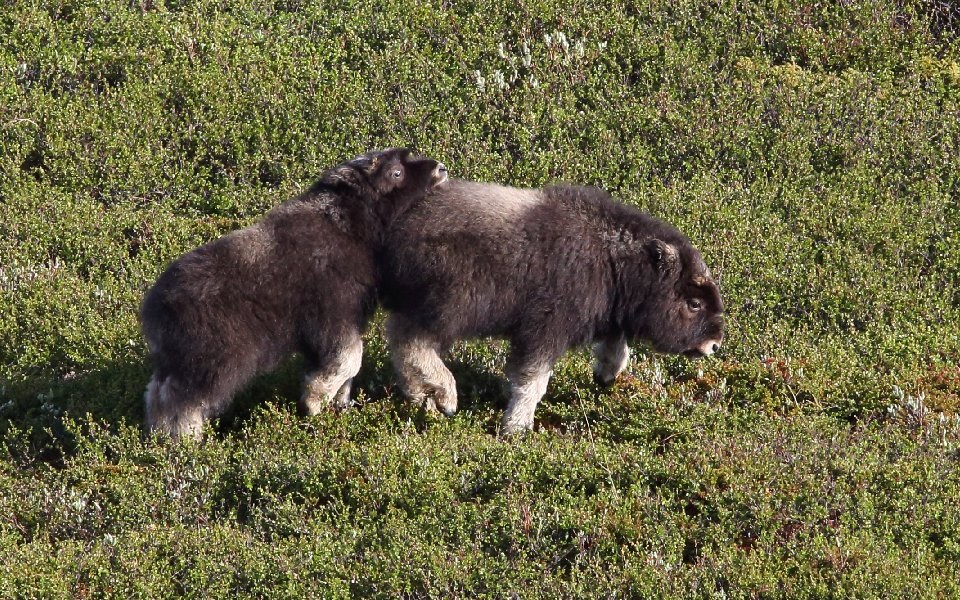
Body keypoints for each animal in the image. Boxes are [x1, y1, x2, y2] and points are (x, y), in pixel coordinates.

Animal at [141, 149, 448, 440]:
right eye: (396, 172)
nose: (440, 168)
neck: (352, 225)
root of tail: (154, 308)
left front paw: (337, 403)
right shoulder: (333, 312)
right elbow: (349, 357)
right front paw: (315, 401)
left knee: (156, 390)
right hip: (207, 362)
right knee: (181, 398)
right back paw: (186, 439)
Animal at [378, 180, 724, 434]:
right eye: (694, 303)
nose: (714, 344)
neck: (613, 260)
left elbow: (617, 347)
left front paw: (605, 375)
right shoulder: (546, 326)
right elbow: (533, 379)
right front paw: (516, 428)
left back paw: (421, 397)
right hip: (448, 306)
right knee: (410, 341)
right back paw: (446, 396)